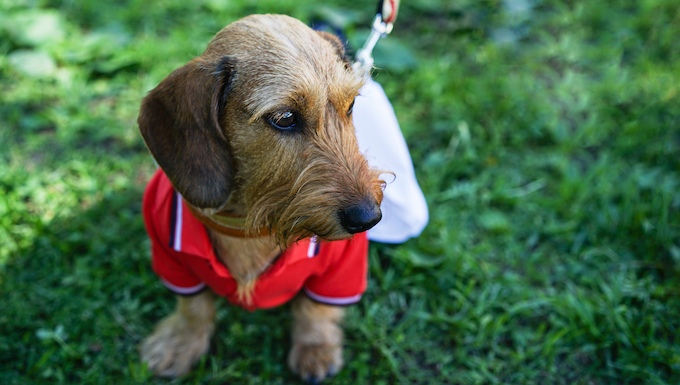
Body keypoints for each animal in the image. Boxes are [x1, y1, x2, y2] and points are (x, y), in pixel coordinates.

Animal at [135, 13, 386, 380]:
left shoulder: (343, 267)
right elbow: (193, 306)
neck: (248, 221)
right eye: (284, 118)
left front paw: (315, 349)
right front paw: (179, 344)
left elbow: (315, 308)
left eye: (351, 104)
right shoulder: (171, 258)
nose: (369, 218)